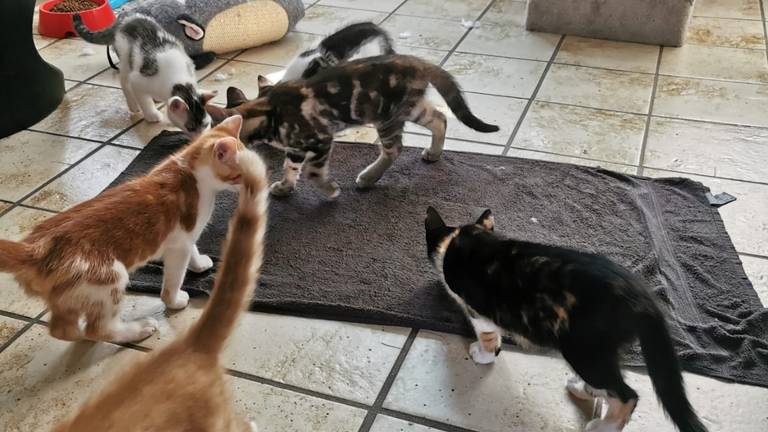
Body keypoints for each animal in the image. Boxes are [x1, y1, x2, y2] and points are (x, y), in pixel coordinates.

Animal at [0, 115, 252, 344]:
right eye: (241, 173)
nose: (253, 184)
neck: (190, 170)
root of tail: (35, 248)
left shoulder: (183, 238)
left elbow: (193, 249)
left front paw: (199, 264)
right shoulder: (179, 244)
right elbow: (174, 277)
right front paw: (175, 300)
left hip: (67, 296)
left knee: (61, 330)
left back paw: (79, 335)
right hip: (109, 280)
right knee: (98, 328)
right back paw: (136, 330)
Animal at [73, 13, 214, 135]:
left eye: (206, 124)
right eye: (190, 127)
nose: (201, 138)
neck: (179, 81)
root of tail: (125, 19)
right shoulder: (138, 81)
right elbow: (144, 100)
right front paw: (151, 115)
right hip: (125, 58)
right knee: (124, 82)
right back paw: (133, 105)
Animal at [207, 53, 500, 198]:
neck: (270, 111)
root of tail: (417, 62)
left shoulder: (321, 139)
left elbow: (313, 171)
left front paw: (329, 190)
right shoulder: (297, 147)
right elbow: (290, 166)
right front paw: (286, 186)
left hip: (386, 116)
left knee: (394, 148)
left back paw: (369, 177)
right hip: (410, 108)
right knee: (440, 118)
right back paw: (434, 152)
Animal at [424, 207, 704, 432]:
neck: (459, 240)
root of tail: (642, 298)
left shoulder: (478, 311)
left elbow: (486, 334)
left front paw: (483, 354)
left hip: (582, 348)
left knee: (627, 394)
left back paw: (603, 426)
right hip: (600, 350)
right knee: (612, 381)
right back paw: (583, 389)